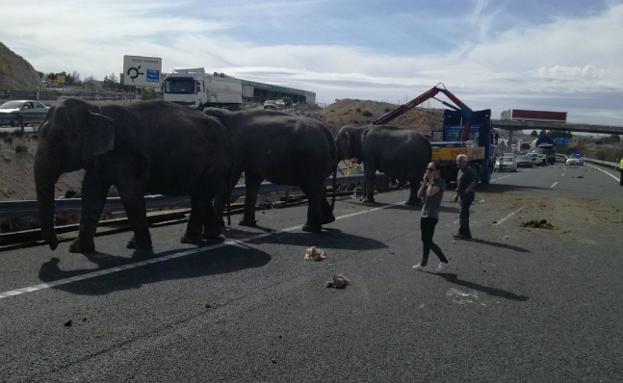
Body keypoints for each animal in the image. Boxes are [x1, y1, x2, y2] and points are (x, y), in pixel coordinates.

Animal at [34, 99, 229, 255]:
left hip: (215, 163)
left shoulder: (127, 154)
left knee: (200, 197)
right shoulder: (101, 157)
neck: (96, 109)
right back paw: (211, 235)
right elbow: (91, 193)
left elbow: (129, 193)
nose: (54, 246)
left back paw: (189, 239)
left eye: (63, 137)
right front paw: (78, 250)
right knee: (200, 196)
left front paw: (140, 247)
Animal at [204, 108, 336, 234]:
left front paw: (220, 225)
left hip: (312, 159)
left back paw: (309, 228)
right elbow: (252, 181)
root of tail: (327, 133)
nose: (228, 223)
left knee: (311, 189)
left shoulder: (237, 149)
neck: (227, 114)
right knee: (313, 189)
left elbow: (231, 179)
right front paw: (246, 224)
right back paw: (327, 220)